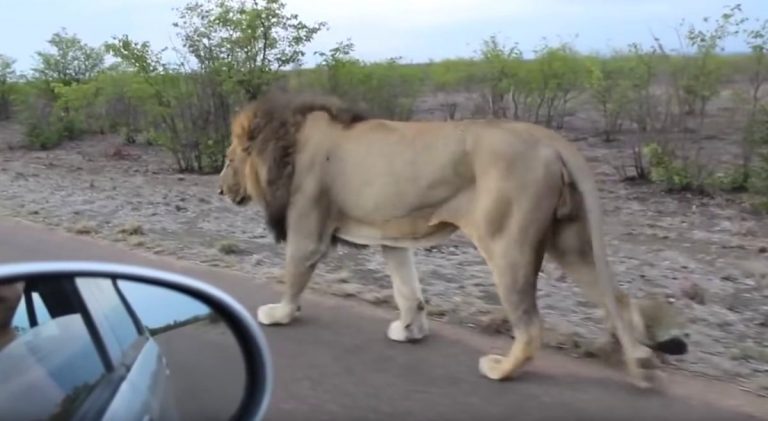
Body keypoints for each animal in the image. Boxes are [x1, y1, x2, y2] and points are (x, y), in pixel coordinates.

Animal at [218, 92, 688, 388]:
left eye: (226, 157)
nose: (220, 190)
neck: (286, 144)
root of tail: (546, 137)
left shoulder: (309, 225)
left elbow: (295, 273)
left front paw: (279, 314)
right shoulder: (392, 235)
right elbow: (407, 289)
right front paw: (410, 329)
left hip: (507, 243)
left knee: (531, 326)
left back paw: (501, 369)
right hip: (568, 240)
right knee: (619, 299)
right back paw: (643, 363)